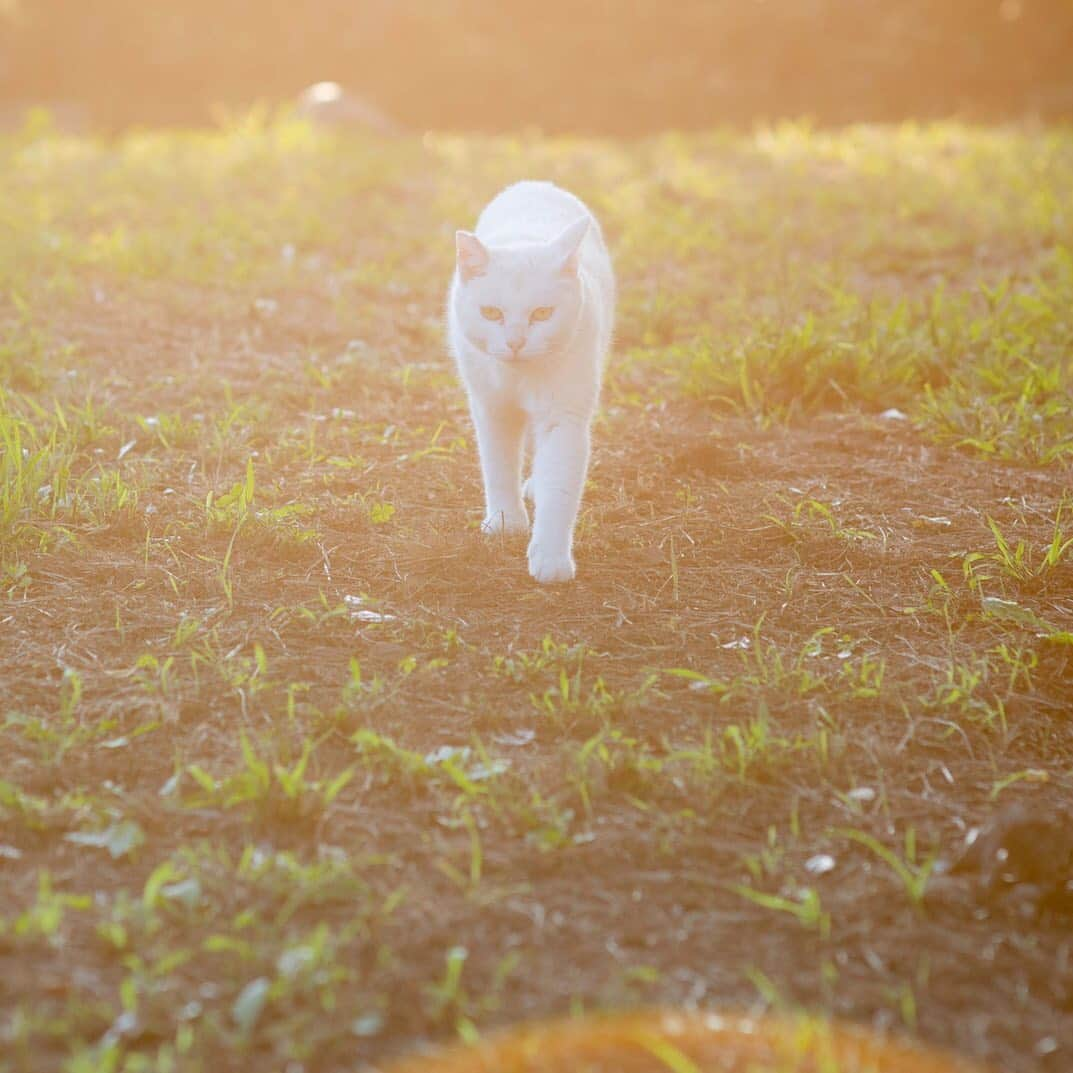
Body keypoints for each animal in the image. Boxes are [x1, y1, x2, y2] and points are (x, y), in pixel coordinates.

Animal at [444, 184, 613, 588]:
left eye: (542, 314)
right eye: (491, 313)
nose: (516, 342)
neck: (519, 375)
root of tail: (534, 183)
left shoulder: (564, 417)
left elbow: (560, 487)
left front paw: (550, 557)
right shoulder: (492, 410)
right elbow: (499, 467)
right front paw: (505, 522)